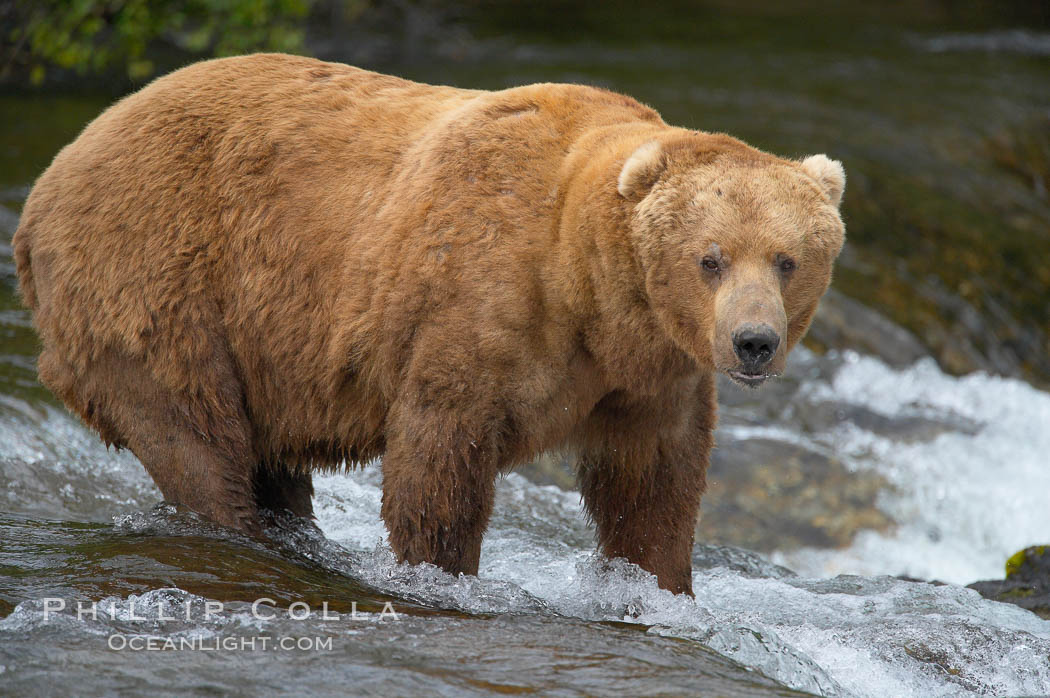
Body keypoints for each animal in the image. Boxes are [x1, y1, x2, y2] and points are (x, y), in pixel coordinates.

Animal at [10, 53, 844, 591]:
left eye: (786, 259)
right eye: (711, 258)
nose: (753, 343)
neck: (587, 290)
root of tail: (50, 176)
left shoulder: (648, 375)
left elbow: (652, 484)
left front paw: (658, 587)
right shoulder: (475, 305)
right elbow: (441, 459)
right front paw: (442, 574)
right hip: (157, 281)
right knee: (196, 437)